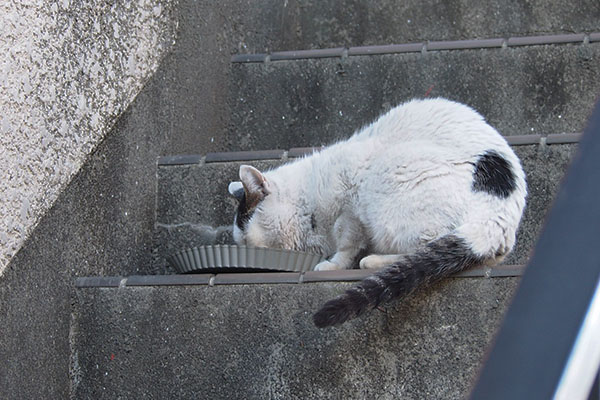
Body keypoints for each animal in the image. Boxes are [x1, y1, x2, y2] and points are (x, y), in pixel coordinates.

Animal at [227, 97, 528, 328]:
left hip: (390, 173)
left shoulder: (350, 204)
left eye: (245, 237)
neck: (306, 206)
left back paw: (373, 261)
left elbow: (347, 241)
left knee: (425, 243)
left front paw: (334, 264)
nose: (242, 250)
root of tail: (497, 219)